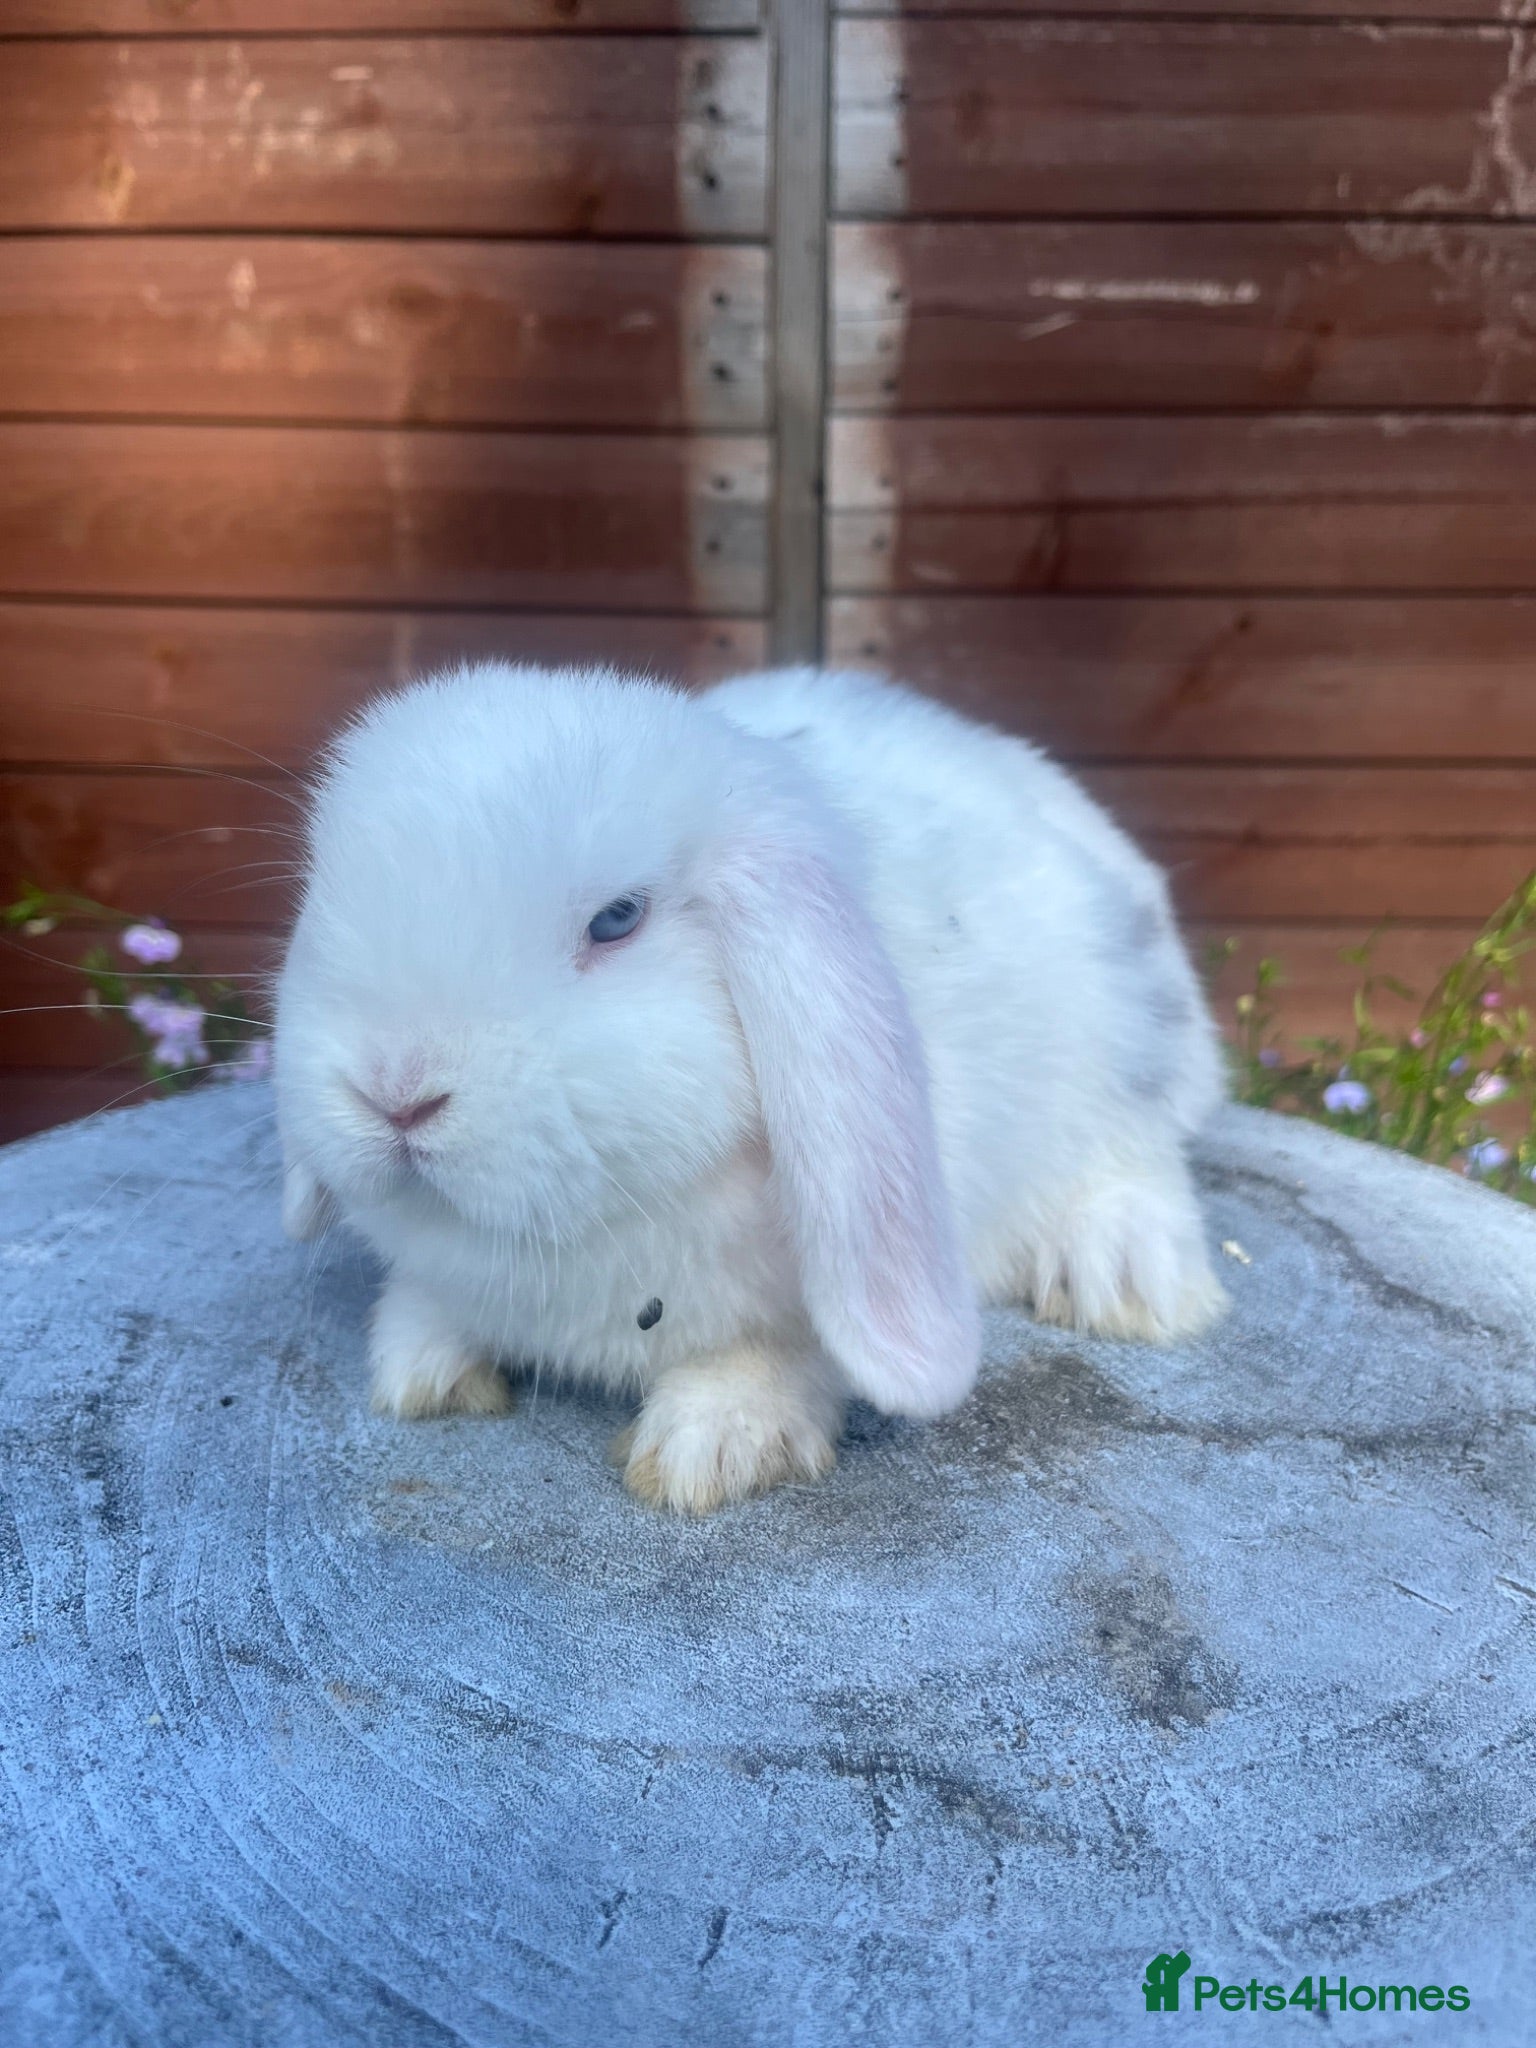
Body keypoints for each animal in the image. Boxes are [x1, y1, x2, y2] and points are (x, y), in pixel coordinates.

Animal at [273, 662, 1226, 1514]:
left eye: (618, 919)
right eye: (323, 897)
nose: (395, 1092)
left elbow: (786, 1353)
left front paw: (711, 1443)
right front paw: (421, 1368)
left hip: (1126, 1052)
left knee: (1135, 1159)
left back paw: (1124, 1276)